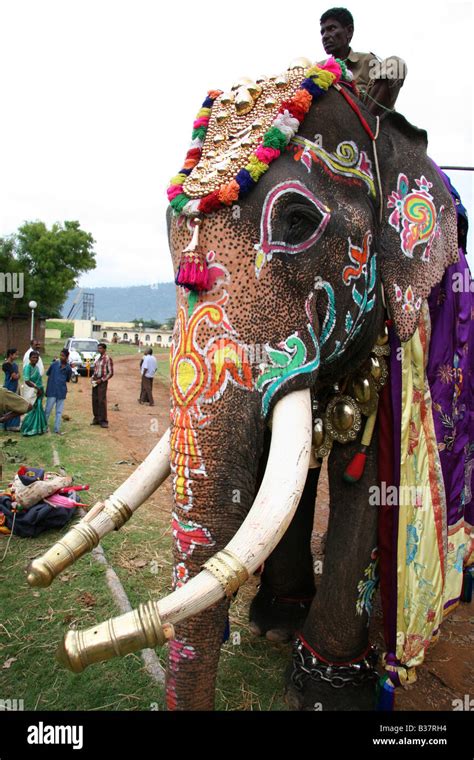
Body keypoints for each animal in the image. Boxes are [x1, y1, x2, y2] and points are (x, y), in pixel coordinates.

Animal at [27, 58, 472, 712]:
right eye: (169, 227)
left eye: (298, 220)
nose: (74, 645)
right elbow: (280, 467)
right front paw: (274, 625)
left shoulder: (402, 330)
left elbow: (363, 476)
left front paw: (329, 690)